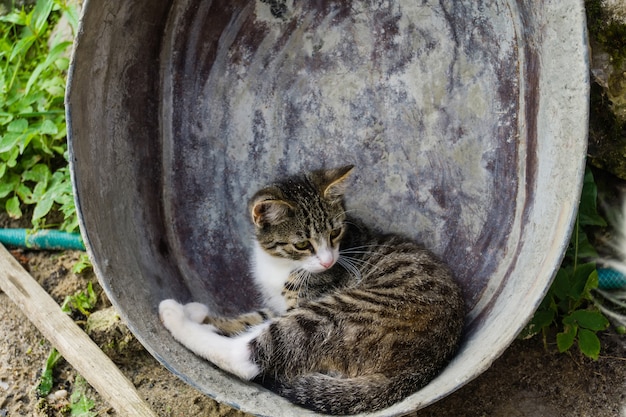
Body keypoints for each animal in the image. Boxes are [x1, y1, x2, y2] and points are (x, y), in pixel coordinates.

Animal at [160, 165, 464, 412]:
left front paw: (194, 315)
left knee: (248, 356)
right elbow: (251, 319)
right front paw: (206, 316)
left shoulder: (304, 300)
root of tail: (422, 365)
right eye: (302, 244)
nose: (328, 261)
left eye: (335, 233)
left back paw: (173, 315)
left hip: (339, 312)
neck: (281, 263)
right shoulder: (277, 305)